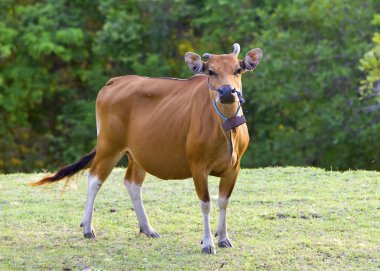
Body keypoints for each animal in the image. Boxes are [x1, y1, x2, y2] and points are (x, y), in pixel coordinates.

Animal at [31, 44, 262, 255]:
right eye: (211, 71)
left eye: (238, 69)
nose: (226, 91)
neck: (225, 129)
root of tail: (116, 81)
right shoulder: (198, 167)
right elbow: (206, 203)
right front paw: (207, 243)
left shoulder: (234, 168)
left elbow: (223, 202)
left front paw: (223, 238)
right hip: (108, 146)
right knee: (94, 179)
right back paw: (88, 228)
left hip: (138, 155)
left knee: (132, 183)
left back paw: (147, 228)